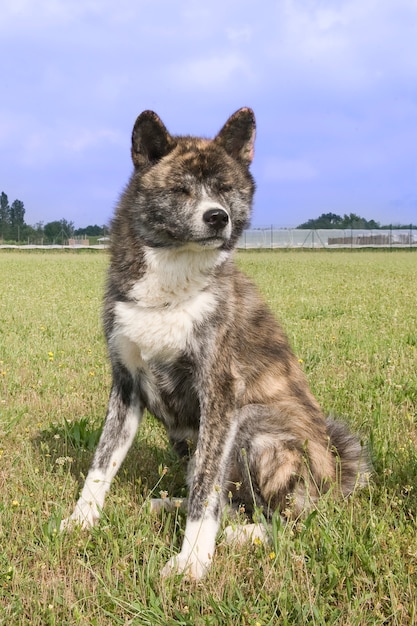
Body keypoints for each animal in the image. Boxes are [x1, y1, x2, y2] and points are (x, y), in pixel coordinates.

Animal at [61, 106, 368, 576]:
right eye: (181, 189)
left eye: (224, 189)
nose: (217, 216)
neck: (174, 280)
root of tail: (335, 478)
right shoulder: (126, 387)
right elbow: (102, 463)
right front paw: (81, 520)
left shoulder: (220, 395)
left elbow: (207, 490)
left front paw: (191, 562)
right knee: (232, 500)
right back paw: (169, 503)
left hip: (255, 427)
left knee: (287, 520)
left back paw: (239, 535)